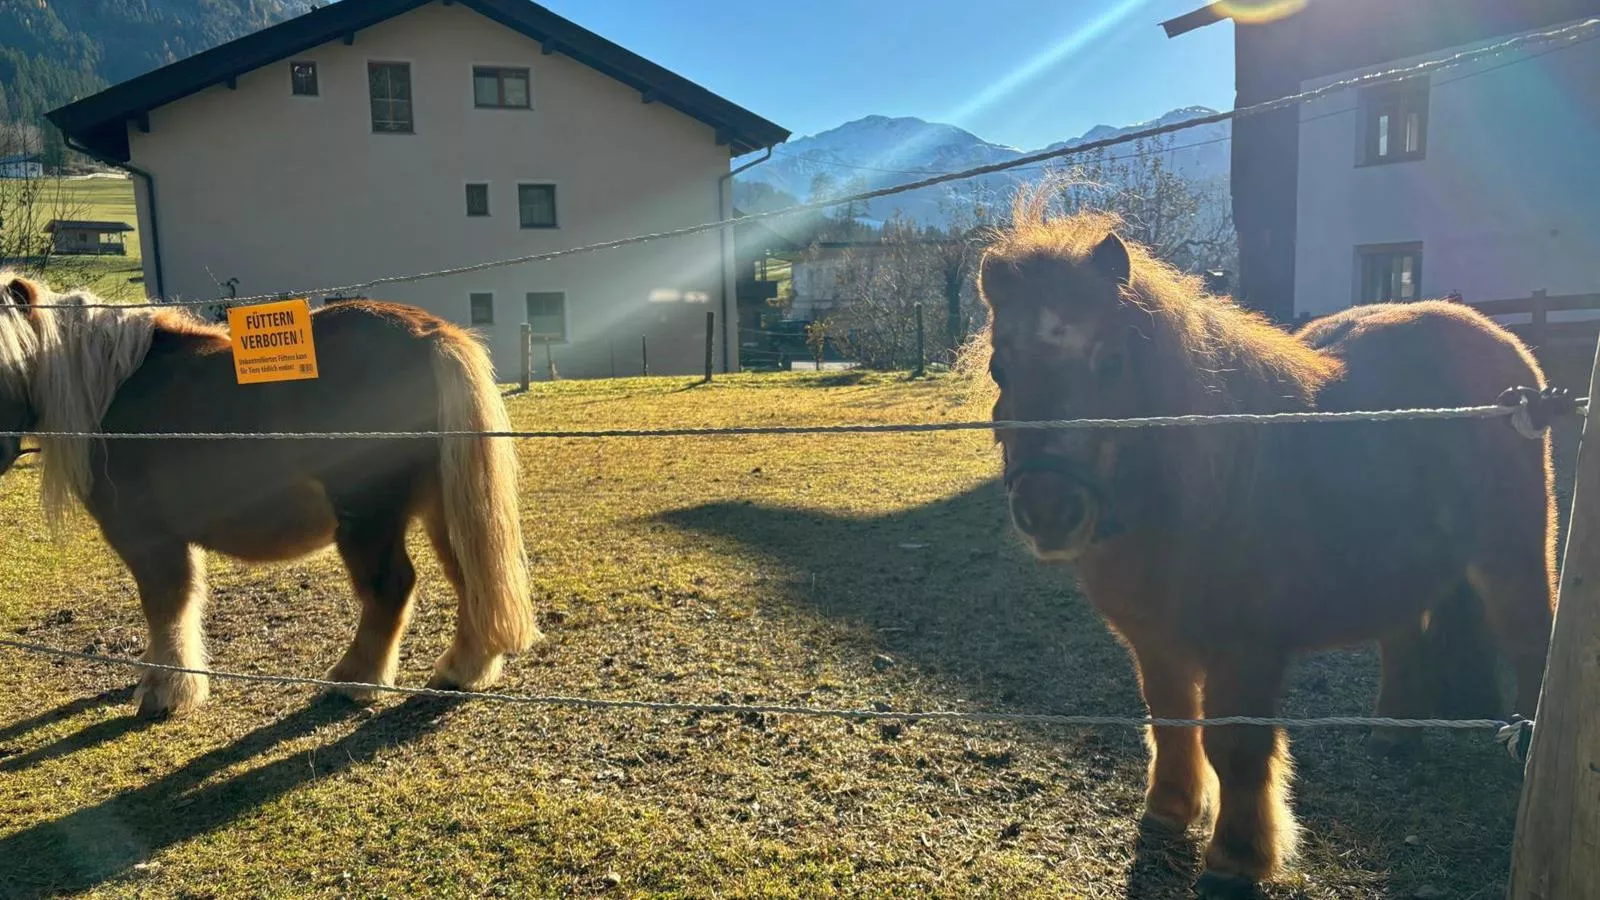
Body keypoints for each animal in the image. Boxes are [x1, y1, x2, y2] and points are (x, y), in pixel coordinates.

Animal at [0, 272, 537, 714]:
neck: (108, 391)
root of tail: (429, 334)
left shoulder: (148, 539)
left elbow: (166, 604)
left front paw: (166, 689)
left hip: (368, 516)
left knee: (390, 586)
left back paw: (355, 679)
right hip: (443, 505)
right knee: (468, 578)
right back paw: (463, 669)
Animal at [979, 199, 1555, 890]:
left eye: (1111, 362)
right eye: (1000, 368)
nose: (1048, 511)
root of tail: (1500, 341)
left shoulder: (1247, 651)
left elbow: (1236, 748)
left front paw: (1236, 856)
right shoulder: (1156, 643)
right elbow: (1170, 719)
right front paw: (1169, 810)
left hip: (1513, 556)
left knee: (1530, 639)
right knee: (1405, 633)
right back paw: (1393, 733)